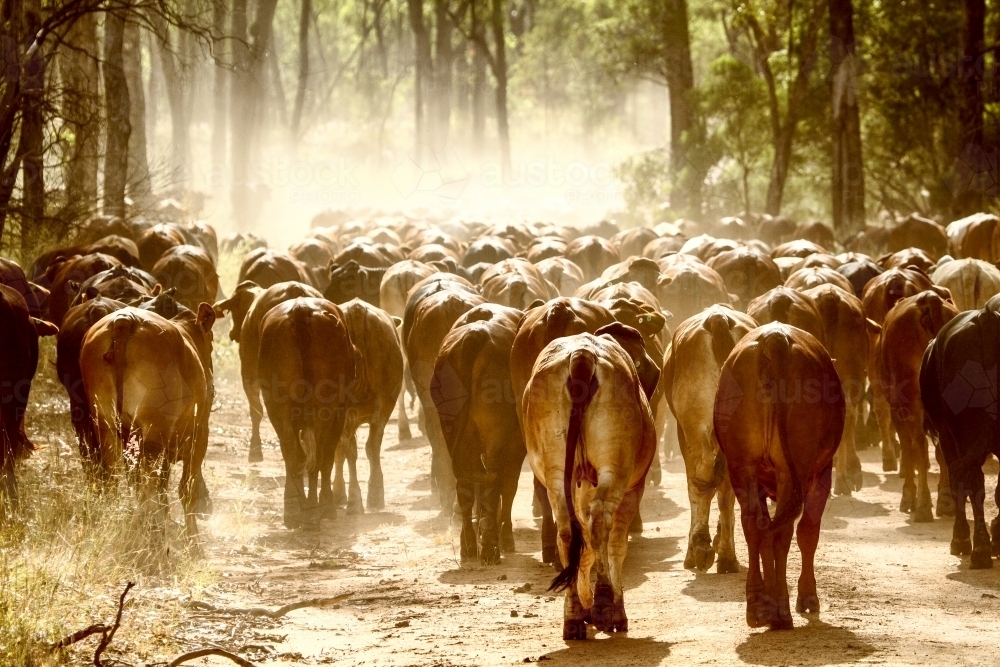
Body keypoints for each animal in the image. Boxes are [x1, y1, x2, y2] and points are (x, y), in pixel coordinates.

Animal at [80, 306, 217, 540]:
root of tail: (126, 319)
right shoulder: (199, 434)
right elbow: (185, 489)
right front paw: (193, 540)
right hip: (155, 431)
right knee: (149, 487)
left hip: (107, 425)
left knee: (117, 478)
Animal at [258, 300, 360, 528]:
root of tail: (300, 308)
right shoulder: (338, 414)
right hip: (326, 409)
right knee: (320, 455)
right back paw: (317, 509)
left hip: (277, 408)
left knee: (291, 452)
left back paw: (294, 510)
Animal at [430, 304, 524, 564]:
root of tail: (476, 334)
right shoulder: (517, 445)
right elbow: (509, 487)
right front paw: (506, 537)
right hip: (496, 436)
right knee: (494, 479)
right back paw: (491, 547)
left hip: (455, 434)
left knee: (465, 482)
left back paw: (469, 544)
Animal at [712, 324, 844, 632]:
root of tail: (775, 340)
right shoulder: (821, 473)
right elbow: (807, 532)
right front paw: (807, 596)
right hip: (793, 470)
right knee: (782, 533)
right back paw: (781, 613)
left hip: (742, 466)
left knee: (754, 527)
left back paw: (757, 605)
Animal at [880, 292, 956, 520]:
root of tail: (928, 299)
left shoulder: (896, 407)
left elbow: (908, 448)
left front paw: (908, 496)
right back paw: (946, 501)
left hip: (909, 399)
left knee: (919, 444)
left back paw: (921, 504)